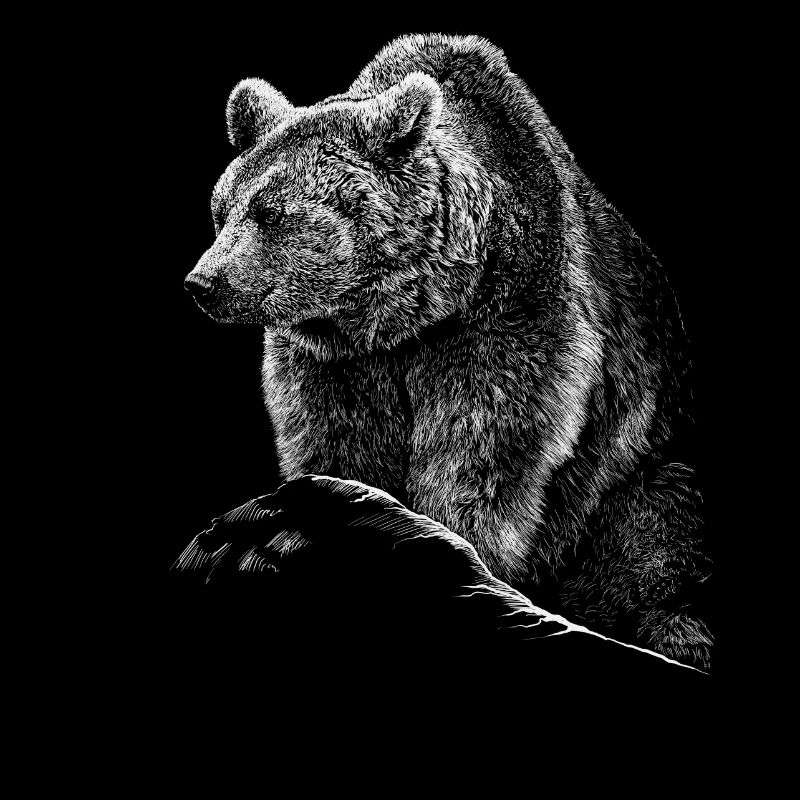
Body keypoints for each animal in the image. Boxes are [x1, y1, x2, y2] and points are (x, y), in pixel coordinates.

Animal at [184, 34, 713, 669]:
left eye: (272, 214)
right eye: (221, 209)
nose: (201, 282)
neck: (402, 315)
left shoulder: (509, 320)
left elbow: (485, 449)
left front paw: (440, 545)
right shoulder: (335, 360)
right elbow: (335, 438)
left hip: (640, 478)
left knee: (653, 534)